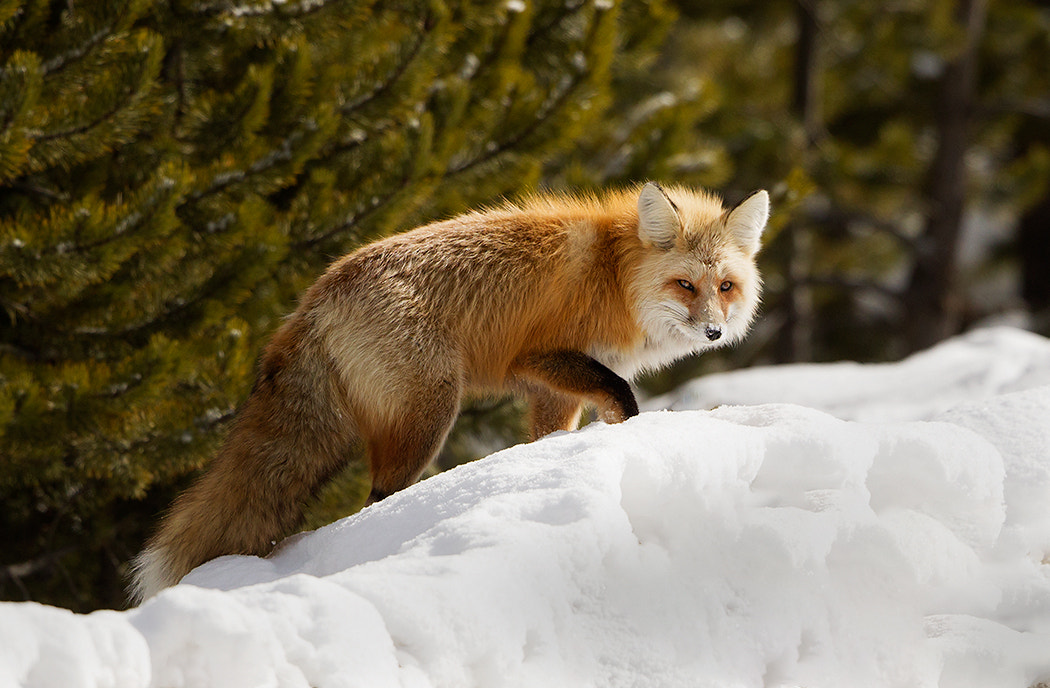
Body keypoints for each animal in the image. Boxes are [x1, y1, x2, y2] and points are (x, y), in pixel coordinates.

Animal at [131, 182, 772, 605]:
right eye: (685, 285)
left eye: (725, 287)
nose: (715, 333)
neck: (616, 276)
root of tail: (313, 299)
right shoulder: (540, 356)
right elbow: (623, 397)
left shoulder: (551, 389)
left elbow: (552, 436)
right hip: (432, 411)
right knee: (377, 497)